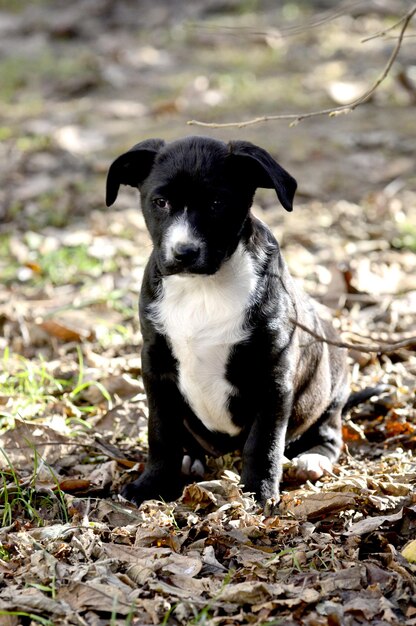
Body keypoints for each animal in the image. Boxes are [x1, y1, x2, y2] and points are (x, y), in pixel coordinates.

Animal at [105, 136, 350, 508]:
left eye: (217, 203)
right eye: (160, 202)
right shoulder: (155, 365)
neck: (203, 287)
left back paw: (313, 458)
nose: (184, 253)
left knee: (329, 430)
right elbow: (161, 433)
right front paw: (152, 484)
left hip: (332, 374)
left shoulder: (273, 375)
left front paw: (259, 493)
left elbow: (263, 444)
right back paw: (191, 458)